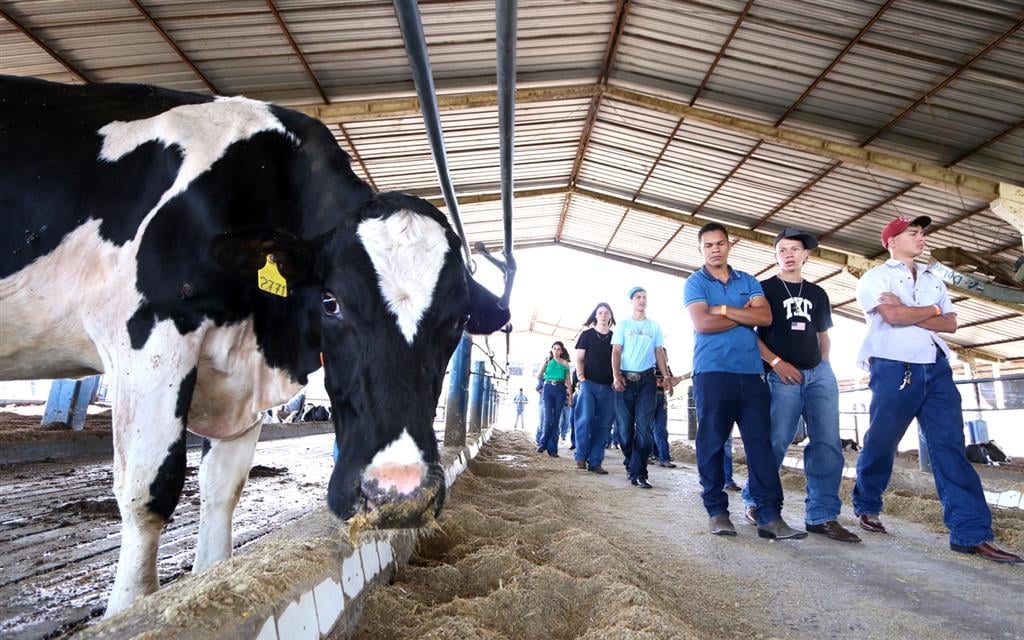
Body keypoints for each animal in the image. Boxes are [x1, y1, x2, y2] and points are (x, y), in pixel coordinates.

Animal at [0, 74, 512, 614]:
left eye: (458, 320)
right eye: (331, 302)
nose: (399, 495)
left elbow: (222, 489)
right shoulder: (149, 333)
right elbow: (149, 489)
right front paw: (131, 611)